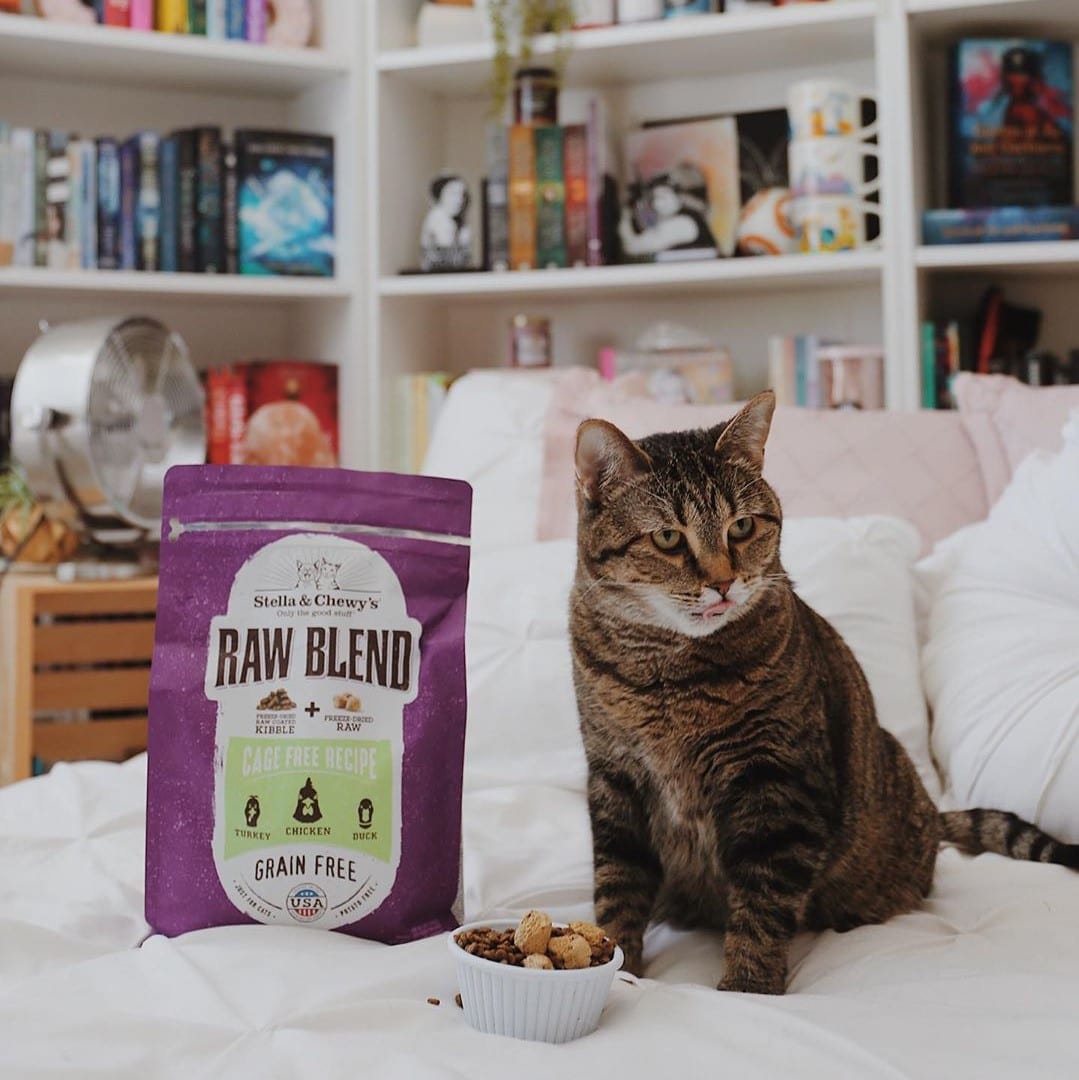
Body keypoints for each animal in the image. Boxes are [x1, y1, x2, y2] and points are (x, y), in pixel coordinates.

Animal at [570, 390, 1075, 993]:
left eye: (742, 526)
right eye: (668, 537)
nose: (723, 583)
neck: (668, 677)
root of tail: (932, 814)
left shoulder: (779, 786)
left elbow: (762, 907)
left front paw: (747, 987)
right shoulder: (614, 779)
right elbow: (617, 886)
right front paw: (617, 969)